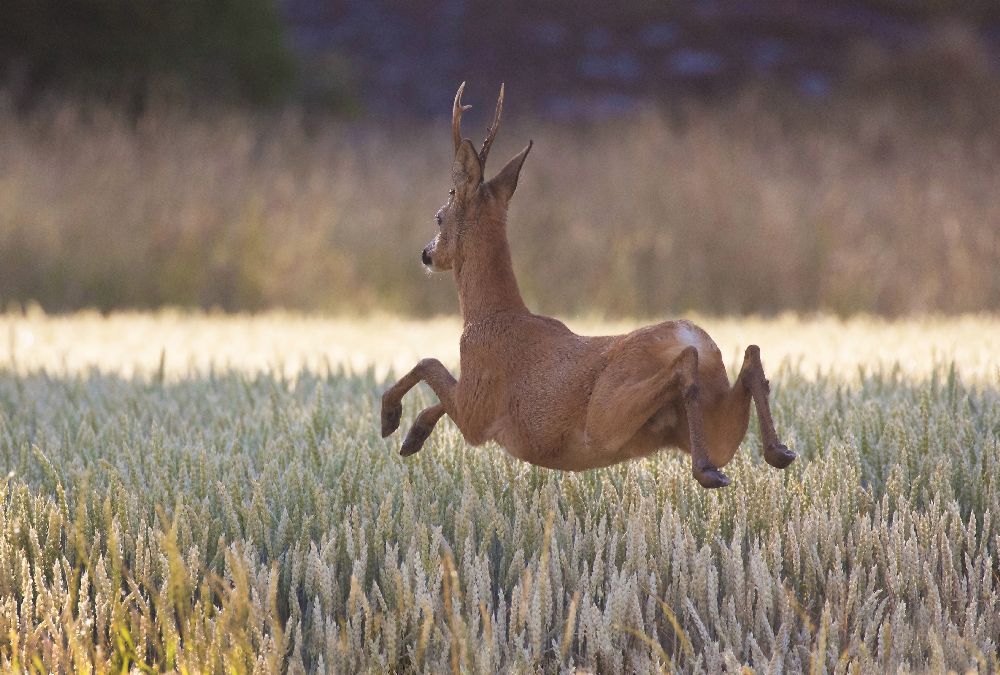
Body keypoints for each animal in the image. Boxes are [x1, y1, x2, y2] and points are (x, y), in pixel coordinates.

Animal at [378, 84, 792, 488]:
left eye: (438, 217)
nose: (427, 255)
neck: (488, 315)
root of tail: (692, 337)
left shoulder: (476, 409)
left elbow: (428, 363)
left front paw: (391, 418)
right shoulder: (471, 402)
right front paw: (413, 435)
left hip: (605, 416)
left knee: (687, 369)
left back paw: (708, 468)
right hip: (713, 421)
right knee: (749, 360)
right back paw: (776, 451)